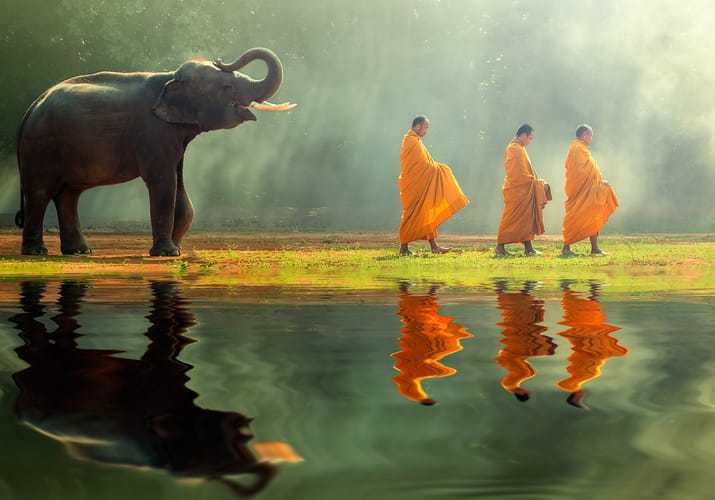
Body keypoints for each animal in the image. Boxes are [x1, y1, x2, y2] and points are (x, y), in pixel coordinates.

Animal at [15, 47, 290, 256]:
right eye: (227, 87)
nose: (220, 59)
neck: (170, 76)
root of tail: (32, 107)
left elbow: (179, 189)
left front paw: (176, 249)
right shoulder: (154, 132)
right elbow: (163, 183)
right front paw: (168, 253)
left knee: (68, 195)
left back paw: (80, 251)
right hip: (40, 145)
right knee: (40, 192)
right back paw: (37, 252)